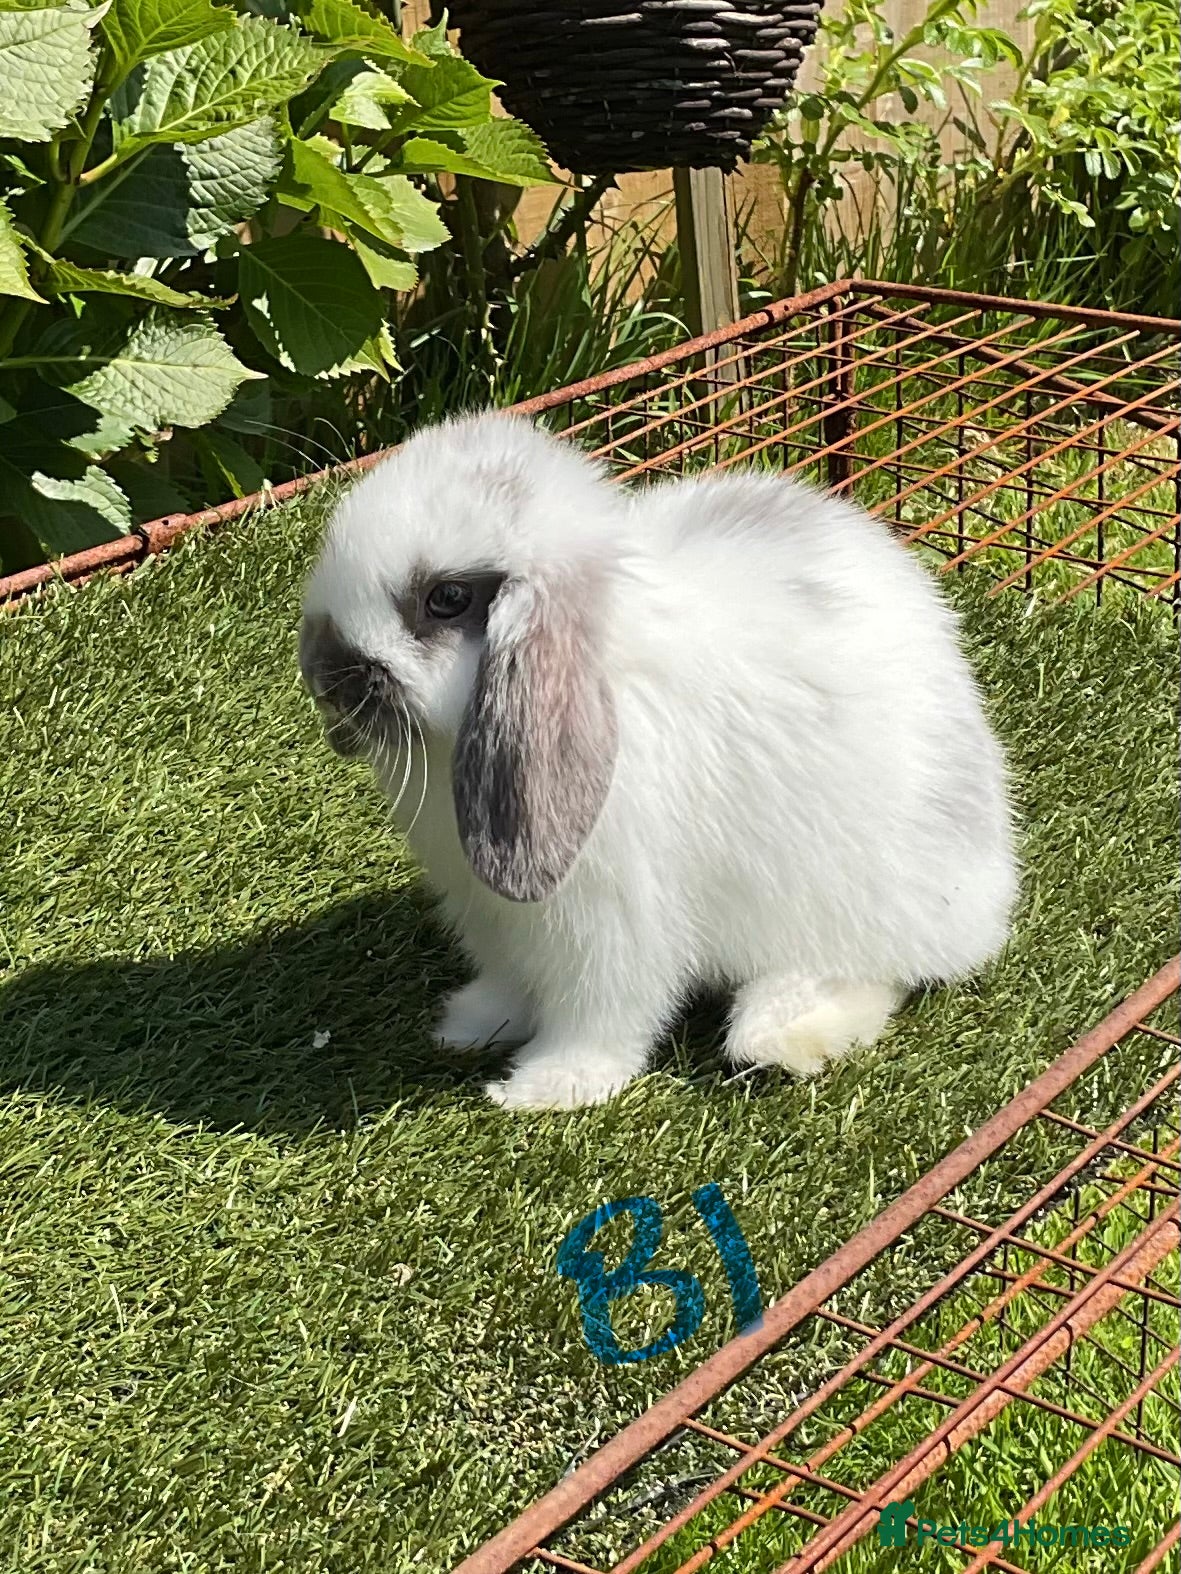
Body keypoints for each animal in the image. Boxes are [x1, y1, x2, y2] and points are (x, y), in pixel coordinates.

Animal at [299, 409, 1017, 1110]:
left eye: (446, 598)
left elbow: (600, 1015)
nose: (325, 676)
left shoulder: (609, 923)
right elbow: (509, 985)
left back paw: (778, 1033)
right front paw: (471, 1025)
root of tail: (990, 898)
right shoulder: (493, 916)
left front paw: (547, 1087)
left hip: (857, 902)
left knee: (875, 972)